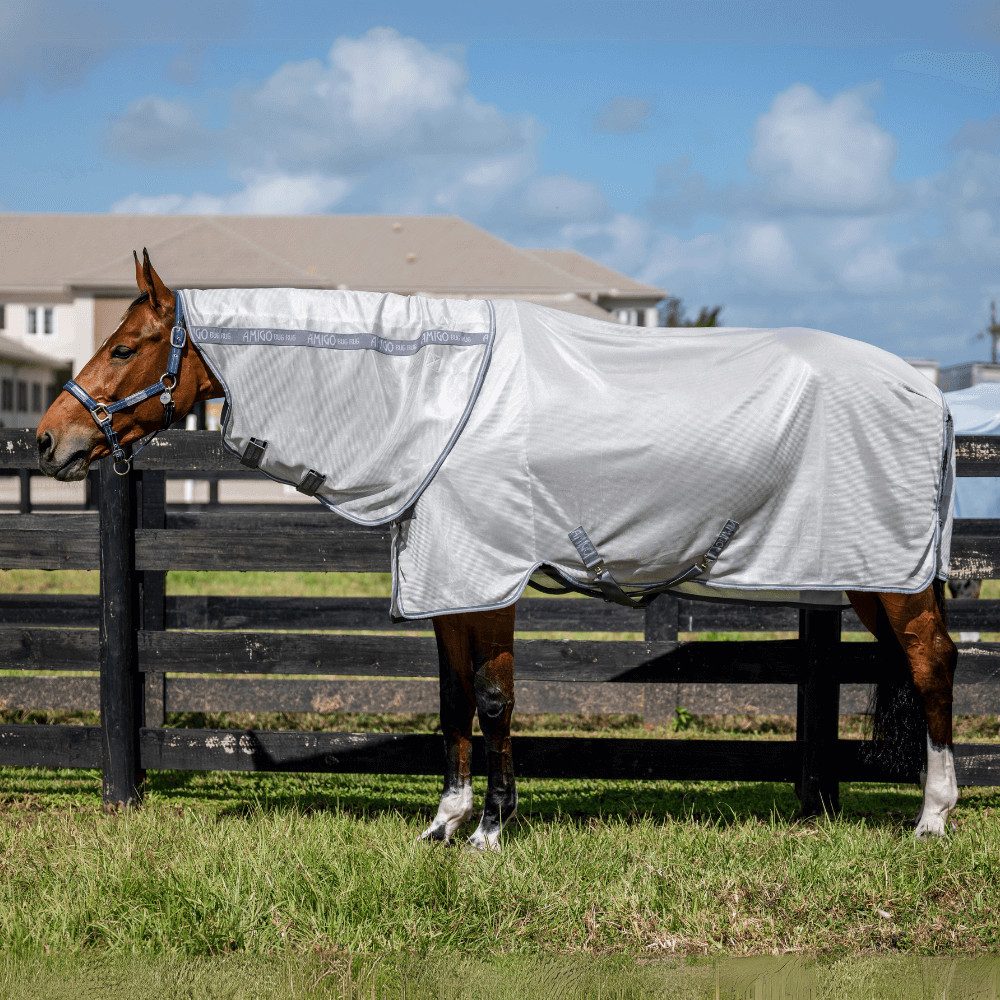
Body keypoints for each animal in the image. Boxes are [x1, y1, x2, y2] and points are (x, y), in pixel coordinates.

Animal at [36, 250, 960, 846]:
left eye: (125, 346)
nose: (49, 440)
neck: (435, 395)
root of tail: (930, 391)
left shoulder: (488, 577)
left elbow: (492, 701)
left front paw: (490, 829)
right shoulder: (450, 584)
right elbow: (452, 702)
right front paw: (445, 823)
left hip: (894, 577)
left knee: (933, 664)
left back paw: (932, 818)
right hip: (870, 575)